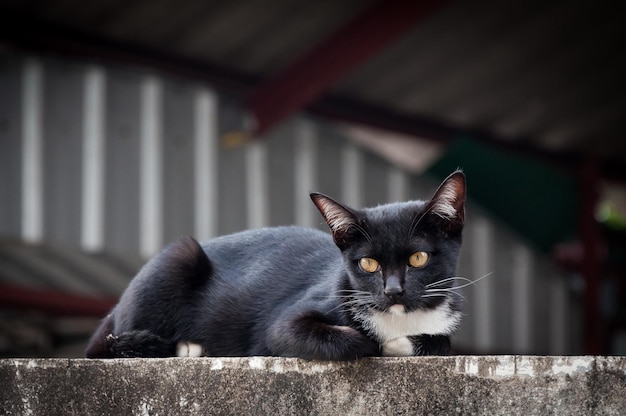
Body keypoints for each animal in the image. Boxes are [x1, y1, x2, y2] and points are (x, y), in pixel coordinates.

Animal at [86, 171, 464, 360]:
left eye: (418, 258)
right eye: (368, 263)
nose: (393, 290)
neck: (401, 319)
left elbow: (442, 342)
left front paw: (406, 343)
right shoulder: (282, 324)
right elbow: (324, 337)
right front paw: (378, 343)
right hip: (177, 258)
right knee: (97, 347)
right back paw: (182, 347)